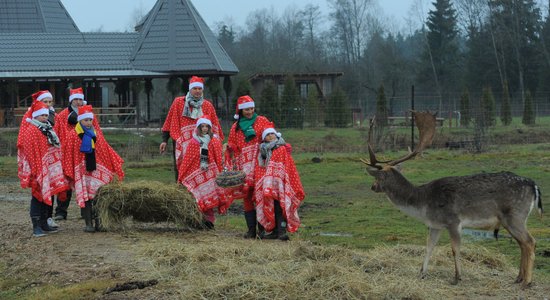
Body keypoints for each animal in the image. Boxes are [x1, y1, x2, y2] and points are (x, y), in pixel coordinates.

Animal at [364, 111, 544, 288]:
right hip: (512, 220)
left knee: (530, 242)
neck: (423, 204)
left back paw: (527, 282)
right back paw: (518, 278)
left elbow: (455, 249)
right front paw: (421, 273)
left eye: (378, 177)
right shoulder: (435, 225)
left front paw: (457, 277)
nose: (372, 187)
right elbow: (429, 246)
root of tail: (533, 185)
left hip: (515, 216)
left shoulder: (453, 221)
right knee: (522, 244)